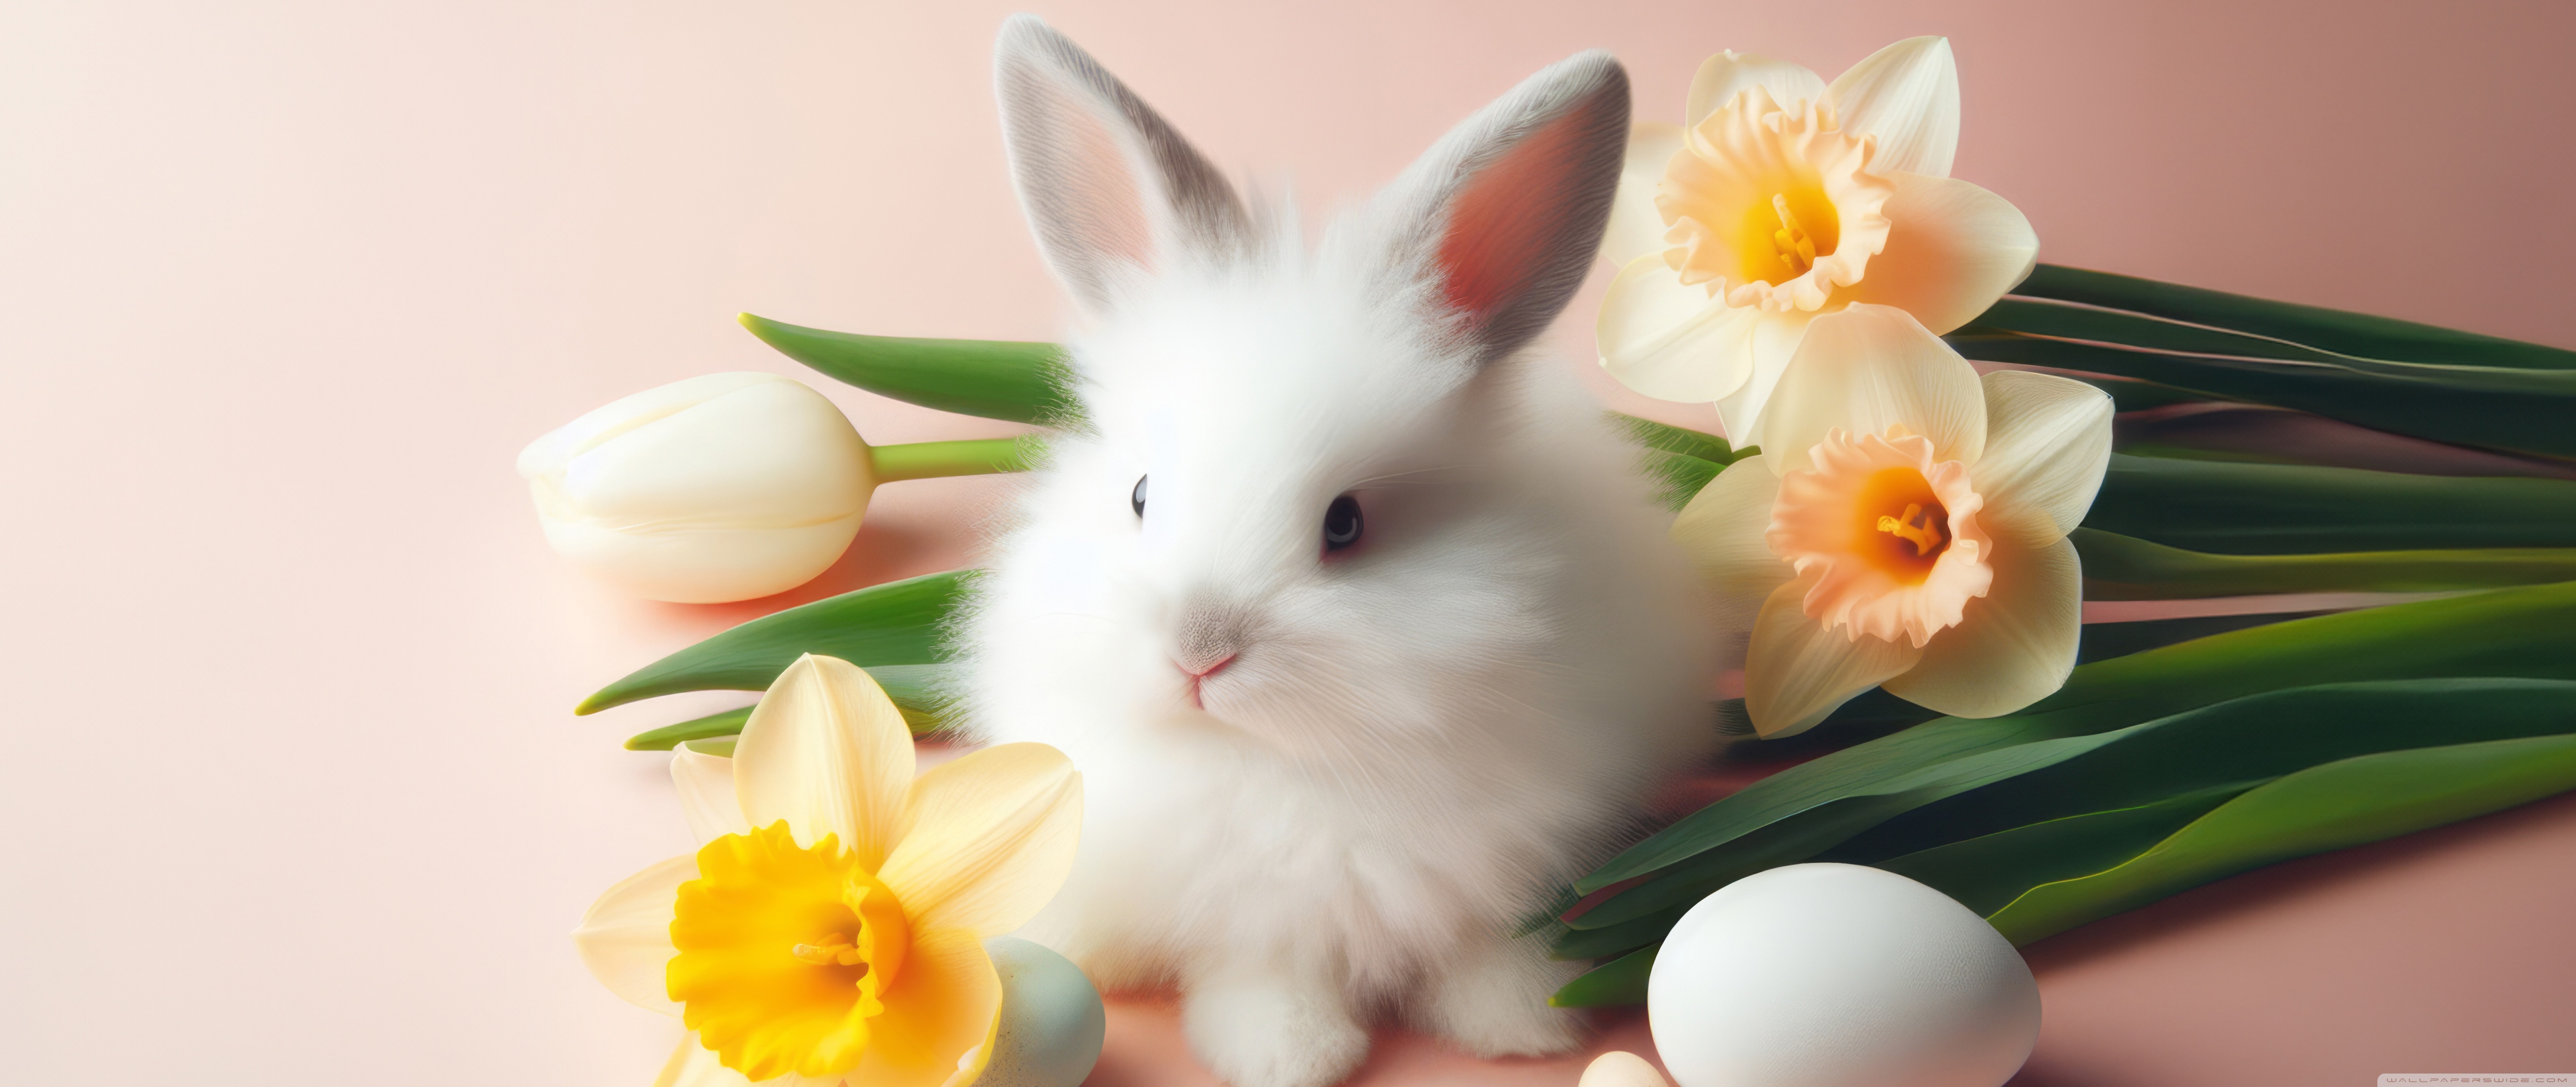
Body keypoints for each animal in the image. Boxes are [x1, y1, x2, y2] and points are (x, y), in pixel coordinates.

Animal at [952, 17, 1719, 1087]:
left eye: (1346, 523)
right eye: (1141, 495)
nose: (1200, 652)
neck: (1282, 762)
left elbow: (1486, 938)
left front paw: (1520, 1020)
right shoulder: (1246, 910)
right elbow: (1265, 968)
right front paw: (1288, 1052)